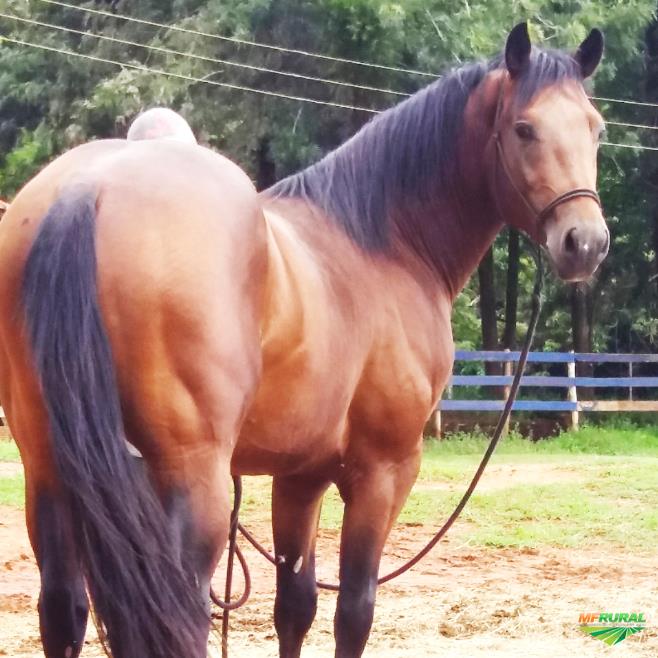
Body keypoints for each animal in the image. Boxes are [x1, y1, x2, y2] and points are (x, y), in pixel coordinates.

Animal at [0, 22, 608, 658]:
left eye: (596, 129)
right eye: (524, 128)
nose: (585, 242)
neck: (382, 242)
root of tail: (88, 188)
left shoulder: (300, 475)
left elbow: (295, 605)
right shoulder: (383, 471)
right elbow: (354, 609)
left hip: (50, 470)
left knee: (63, 610)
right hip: (192, 478)